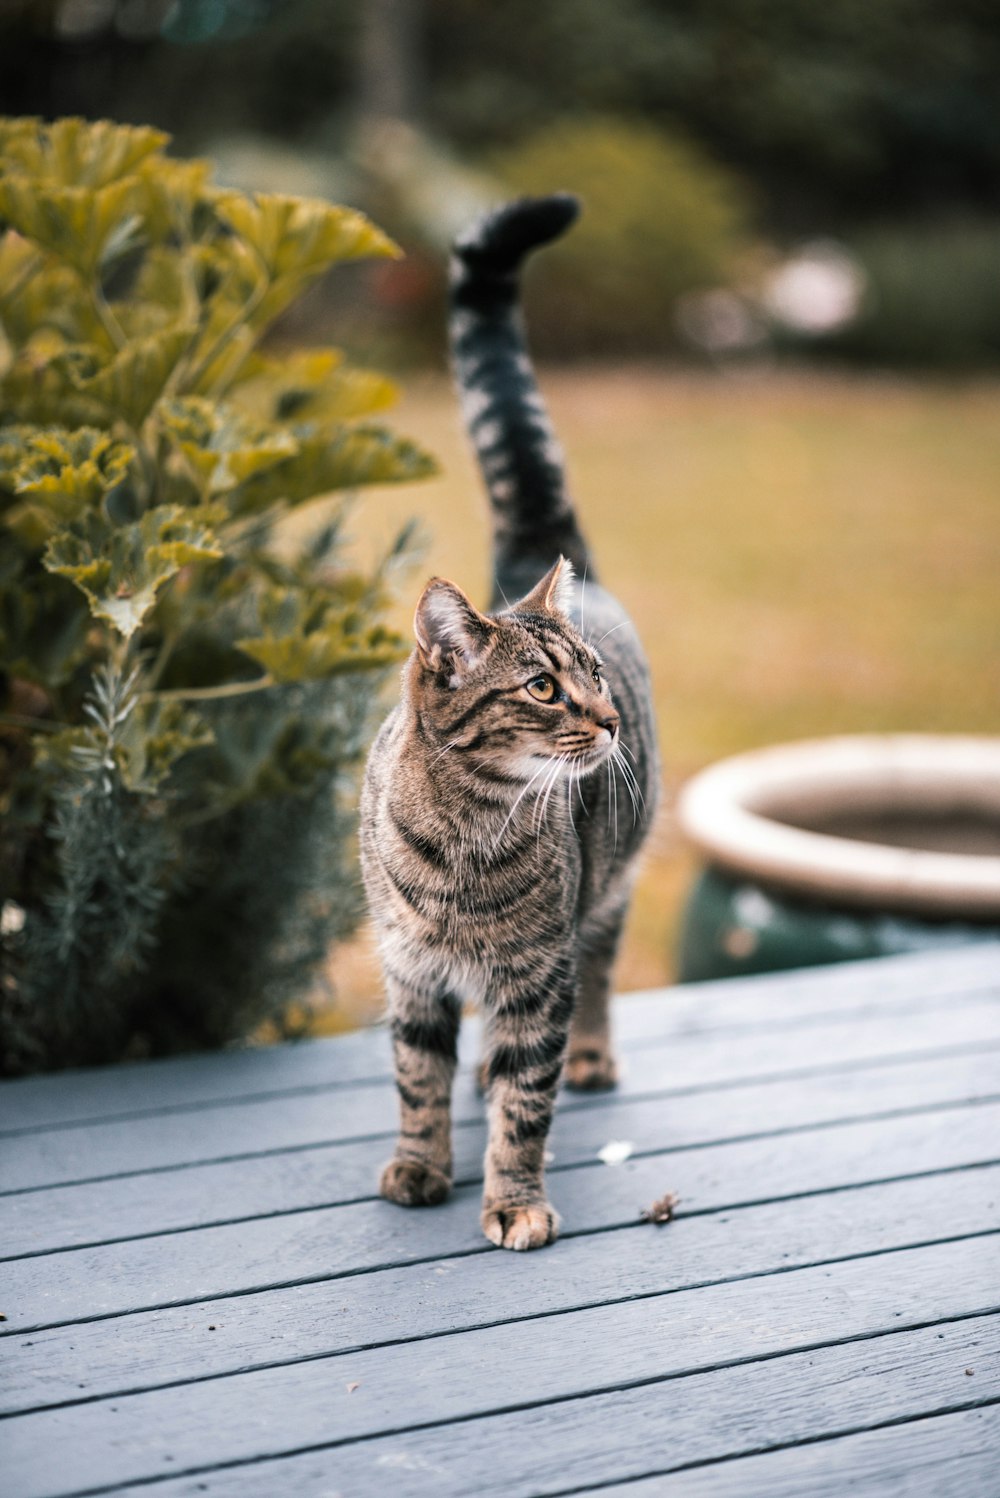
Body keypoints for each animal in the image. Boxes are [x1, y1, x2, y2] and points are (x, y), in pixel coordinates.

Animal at [363, 196, 658, 1252]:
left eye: (594, 679)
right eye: (540, 688)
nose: (607, 722)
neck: (468, 835)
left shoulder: (539, 977)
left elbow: (526, 1102)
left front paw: (513, 1199)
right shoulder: (410, 973)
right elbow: (415, 1077)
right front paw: (419, 1165)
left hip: (610, 891)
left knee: (602, 971)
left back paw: (592, 1058)